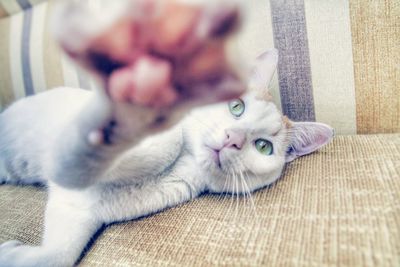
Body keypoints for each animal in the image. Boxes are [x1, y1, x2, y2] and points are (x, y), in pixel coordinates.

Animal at [0, 47, 332, 266]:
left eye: (263, 147)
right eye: (236, 106)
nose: (233, 140)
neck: (184, 163)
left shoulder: (78, 210)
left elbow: (58, 255)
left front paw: (12, 254)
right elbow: (169, 138)